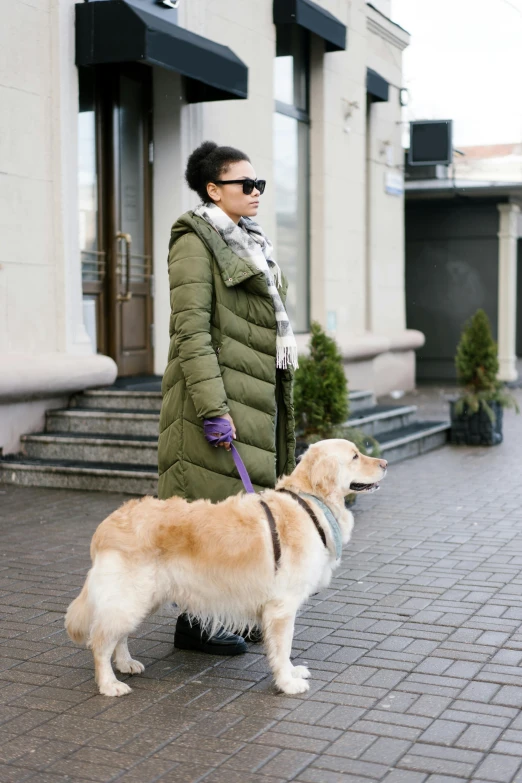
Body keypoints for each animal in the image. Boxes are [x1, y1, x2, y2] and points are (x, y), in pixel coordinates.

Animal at [65, 440, 384, 700]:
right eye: (355, 456)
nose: (385, 463)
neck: (310, 501)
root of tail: (106, 525)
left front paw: (292, 673)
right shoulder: (282, 608)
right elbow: (282, 649)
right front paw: (287, 682)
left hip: (140, 598)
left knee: (118, 635)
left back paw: (125, 664)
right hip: (132, 597)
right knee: (100, 642)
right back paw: (109, 684)